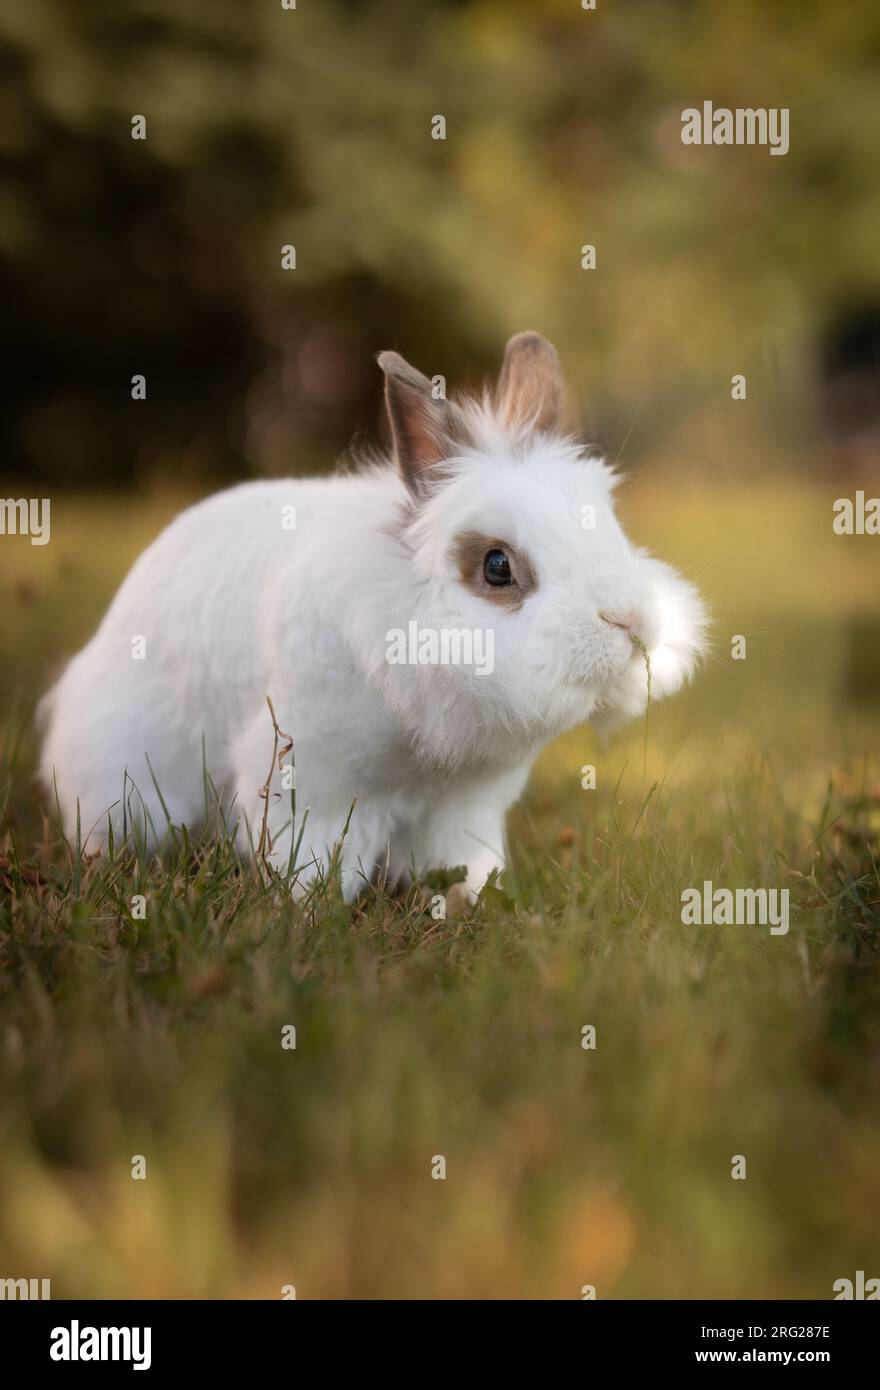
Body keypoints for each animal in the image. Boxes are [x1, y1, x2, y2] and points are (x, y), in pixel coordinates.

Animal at [39, 332, 707, 900]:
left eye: (612, 526)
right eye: (497, 566)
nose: (632, 623)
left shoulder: (464, 805)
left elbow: (462, 856)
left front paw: (469, 894)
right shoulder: (311, 775)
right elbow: (311, 851)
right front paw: (308, 905)